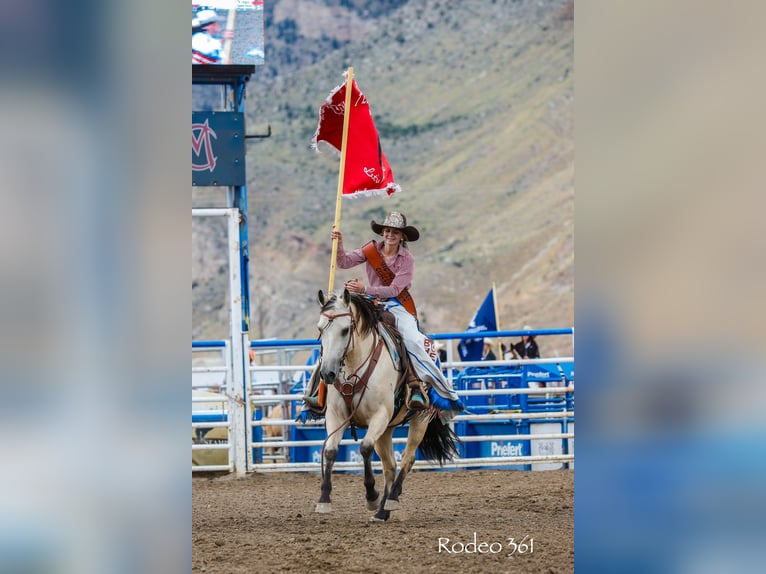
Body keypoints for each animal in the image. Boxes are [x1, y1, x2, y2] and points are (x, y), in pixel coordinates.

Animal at [316, 290, 460, 524]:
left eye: (345, 330)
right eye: (320, 329)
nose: (327, 373)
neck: (355, 367)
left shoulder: (380, 415)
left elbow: (365, 448)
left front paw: (371, 496)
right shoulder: (336, 416)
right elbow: (330, 451)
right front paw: (324, 499)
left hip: (420, 418)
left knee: (407, 459)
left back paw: (391, 500)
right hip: (386, 430)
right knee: (390, 466)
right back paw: (383, 512)